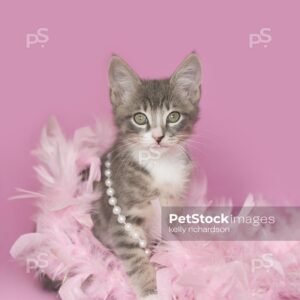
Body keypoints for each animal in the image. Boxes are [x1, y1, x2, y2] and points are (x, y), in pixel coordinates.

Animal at [92, 54, 202, 300]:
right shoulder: (124, 220)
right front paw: (151, 292)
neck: (160, 164)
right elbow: (136, 259)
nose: (158, 137)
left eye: (173, 116)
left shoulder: (172, 210)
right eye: (140, 118)